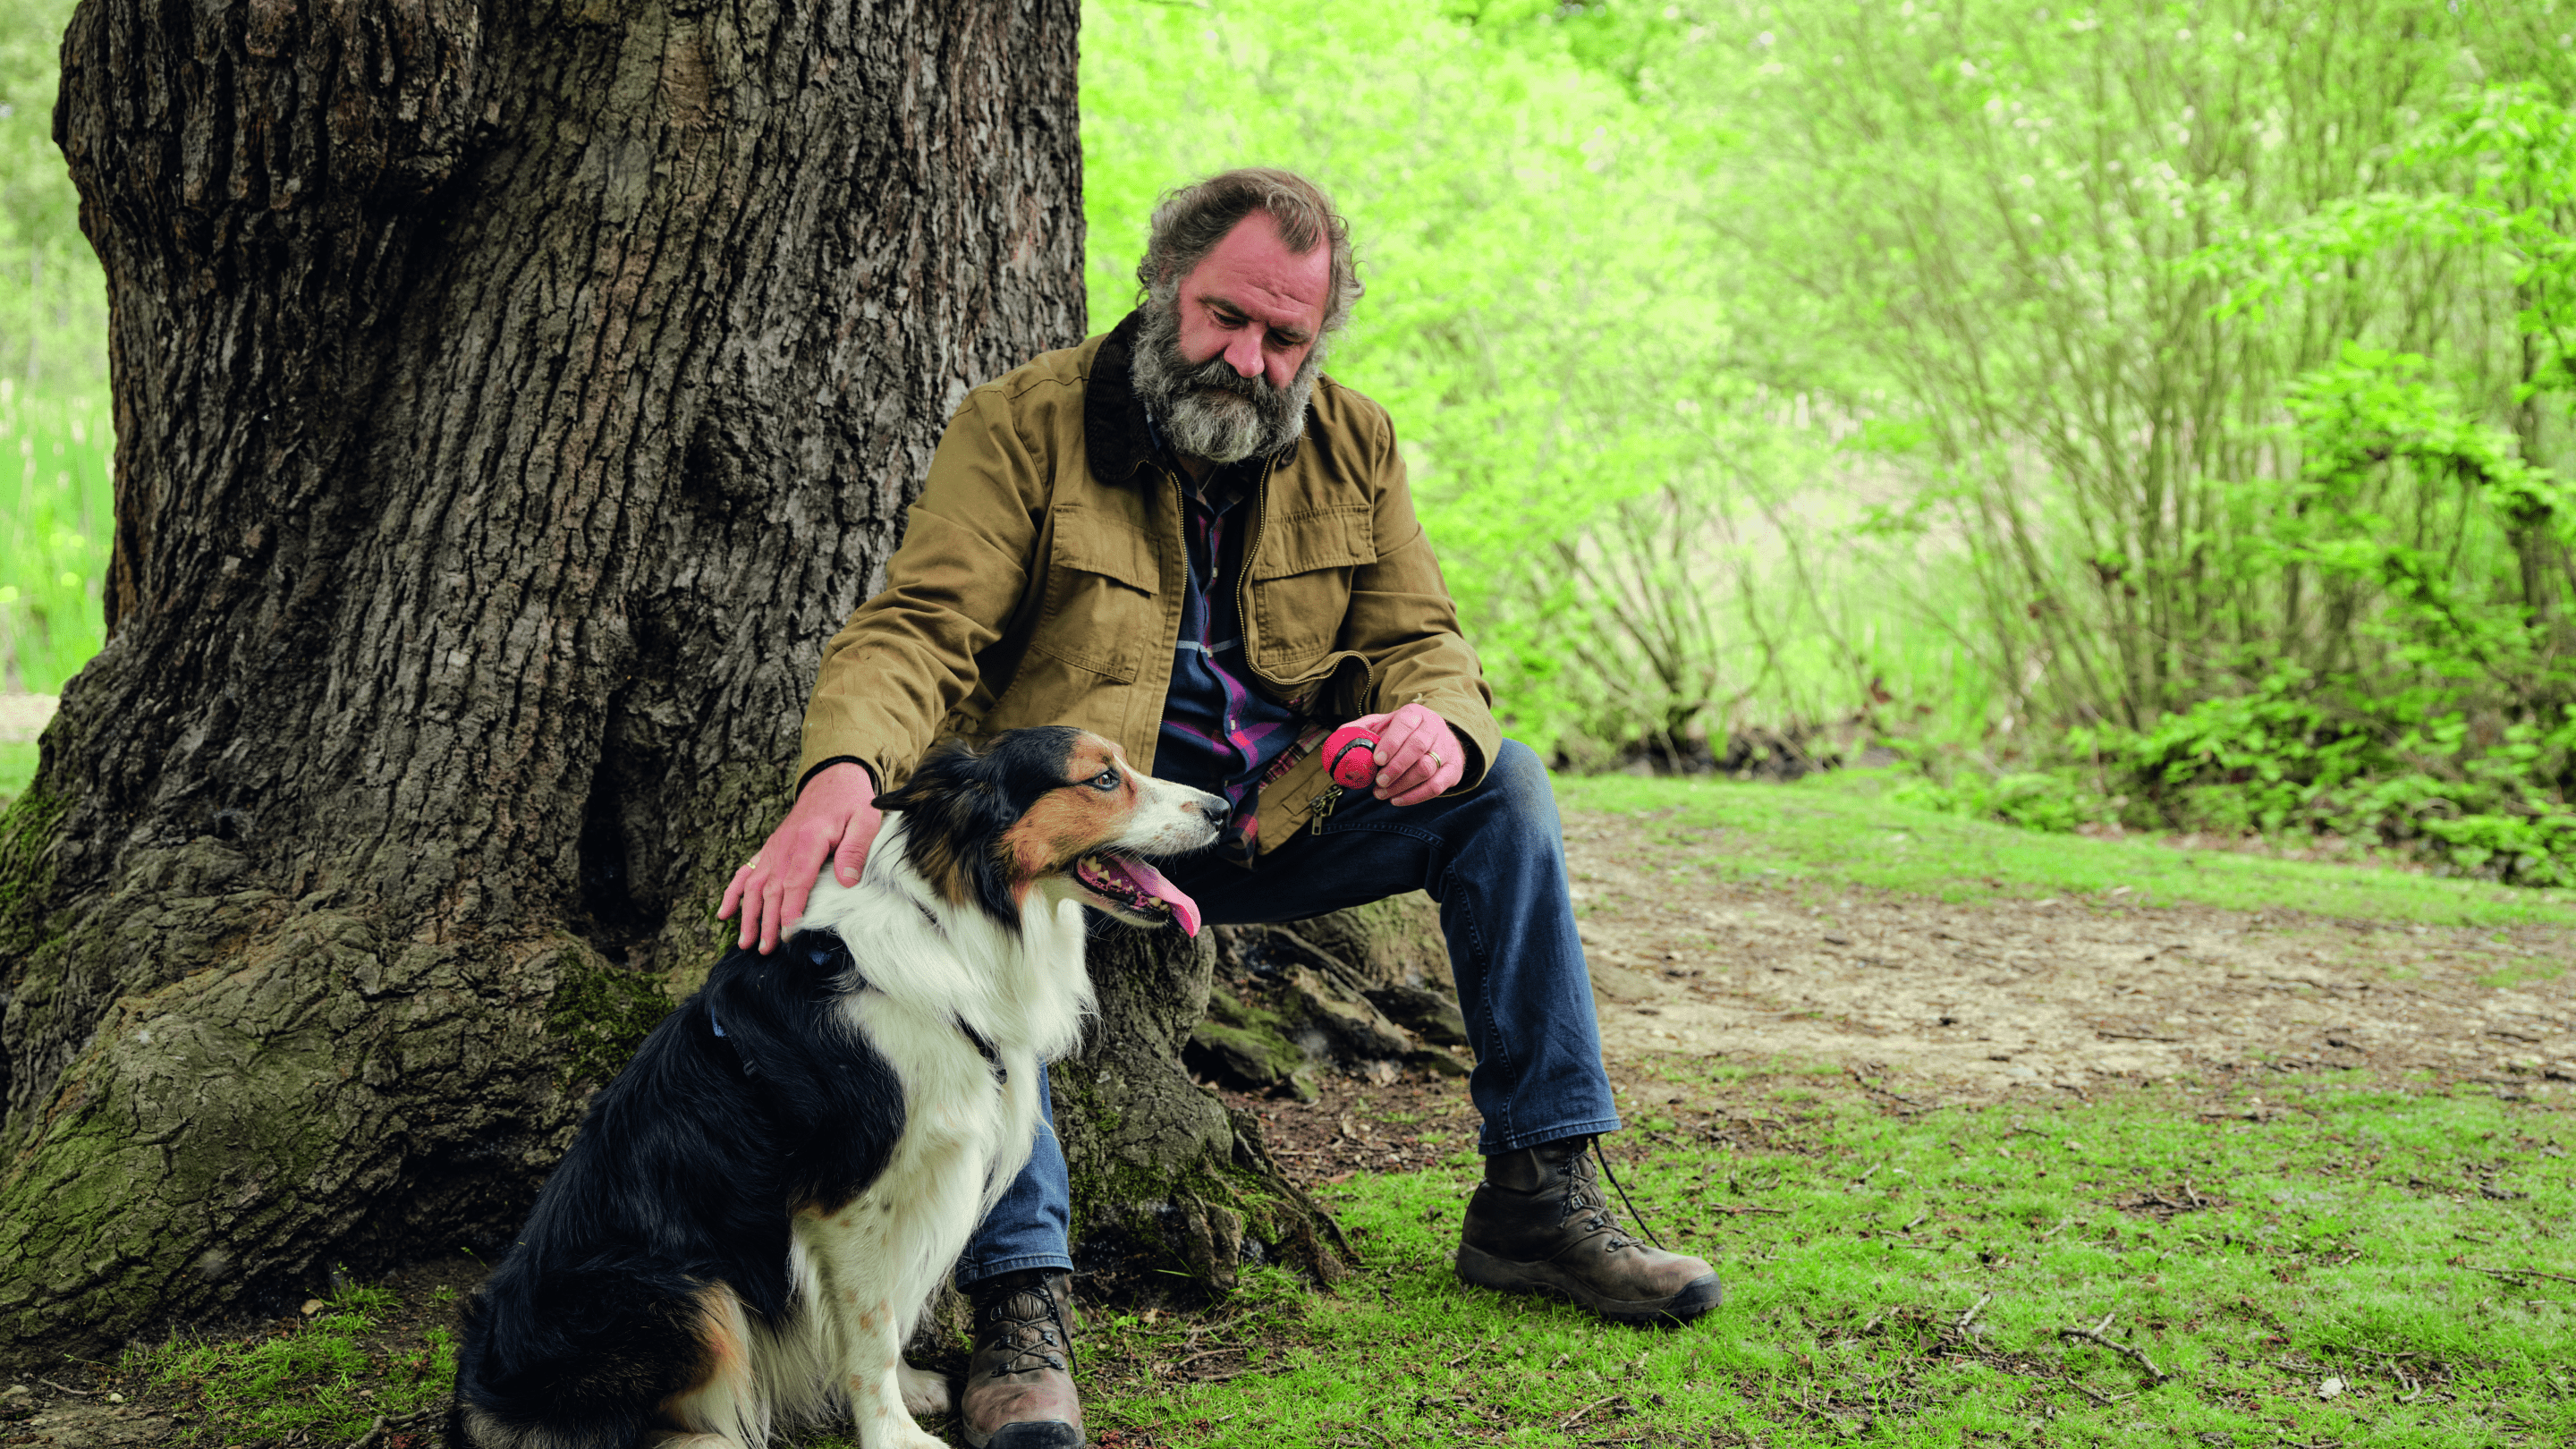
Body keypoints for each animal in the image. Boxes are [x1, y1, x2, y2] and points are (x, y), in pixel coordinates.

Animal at [448, 726, 1221, 1444]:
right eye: (1102, 779)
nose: (1220, 808)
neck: (951, 925)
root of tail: (476, 1391)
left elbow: (890, 1313)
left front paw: (909, 1389)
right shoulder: (848, 1199)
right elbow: (871, 1327)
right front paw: (892, 1434)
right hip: (680, 1288)